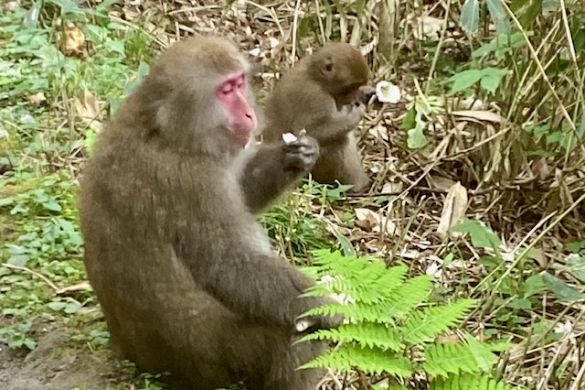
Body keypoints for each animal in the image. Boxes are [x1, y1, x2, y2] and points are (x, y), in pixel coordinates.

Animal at [78, 36, 342, 390]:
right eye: (226, 90)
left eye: (240, 83)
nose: (249, 113)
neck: (166, 131)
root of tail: (134, 359)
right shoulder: (192, 183)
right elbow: (230, 266)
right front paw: (328, 307)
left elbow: (243, 194)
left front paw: (295, 157)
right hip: (207, 364)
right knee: (295, 334)